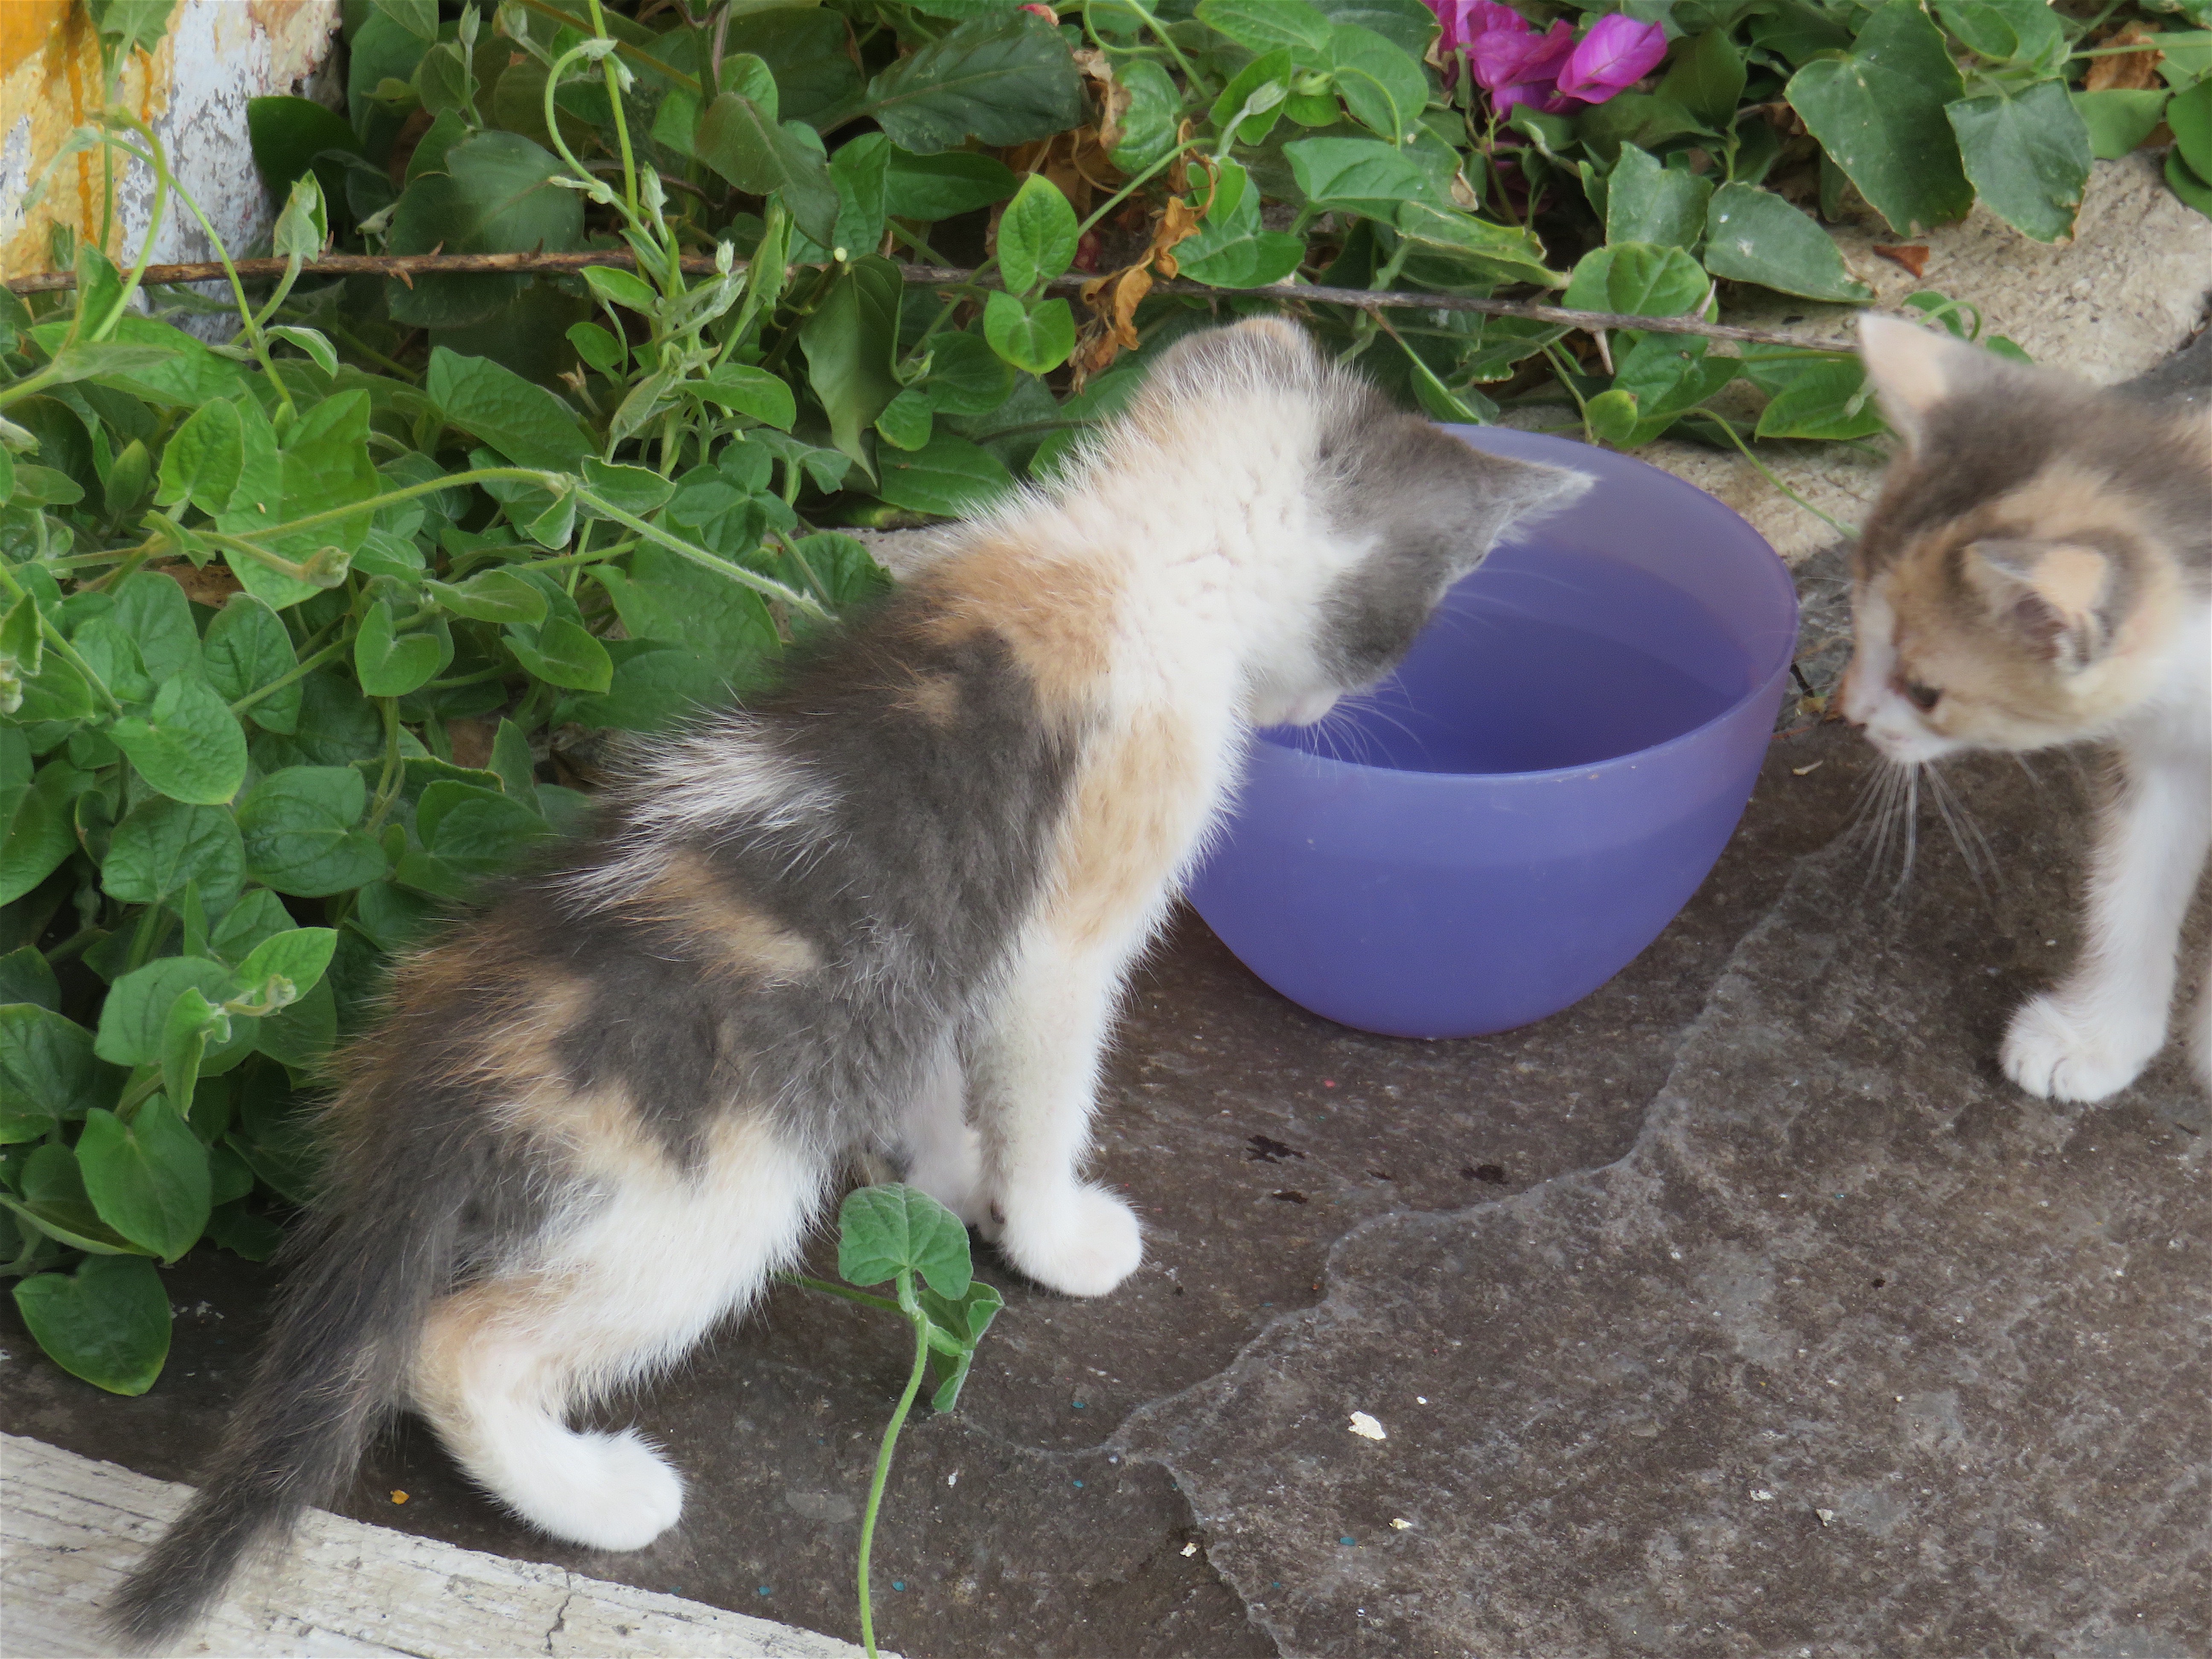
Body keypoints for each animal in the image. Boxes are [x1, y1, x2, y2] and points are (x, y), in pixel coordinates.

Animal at [107, 317, 1591, 1648]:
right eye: (1408, 622)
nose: (1322, 711)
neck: (1128, 551)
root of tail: (432, 1053)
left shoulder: (932, 954)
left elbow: (934, 1072)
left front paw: (943, 1182)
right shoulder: (1060, 940)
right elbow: (1046, 1091)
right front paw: (1052, 1234)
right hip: (710, 1193)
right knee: (456, 1348)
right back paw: (599, 1497)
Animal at [1840, 313, 2212, 1104]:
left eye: (1924, 691)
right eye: (1856, 630)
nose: (1849, 712)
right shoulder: (2165, 754)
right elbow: (2131, 877)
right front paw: (2093, 1036)